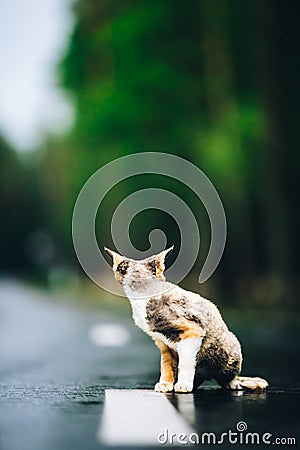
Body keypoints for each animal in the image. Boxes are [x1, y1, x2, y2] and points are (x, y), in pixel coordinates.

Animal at [105, 248, 268, 392]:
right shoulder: (164, 344)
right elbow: (166, 364)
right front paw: (166, 384)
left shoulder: (193, 330)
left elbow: (186, 362)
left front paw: (182, 385)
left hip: (230, 348)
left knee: (229, 376)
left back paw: (232, 383)